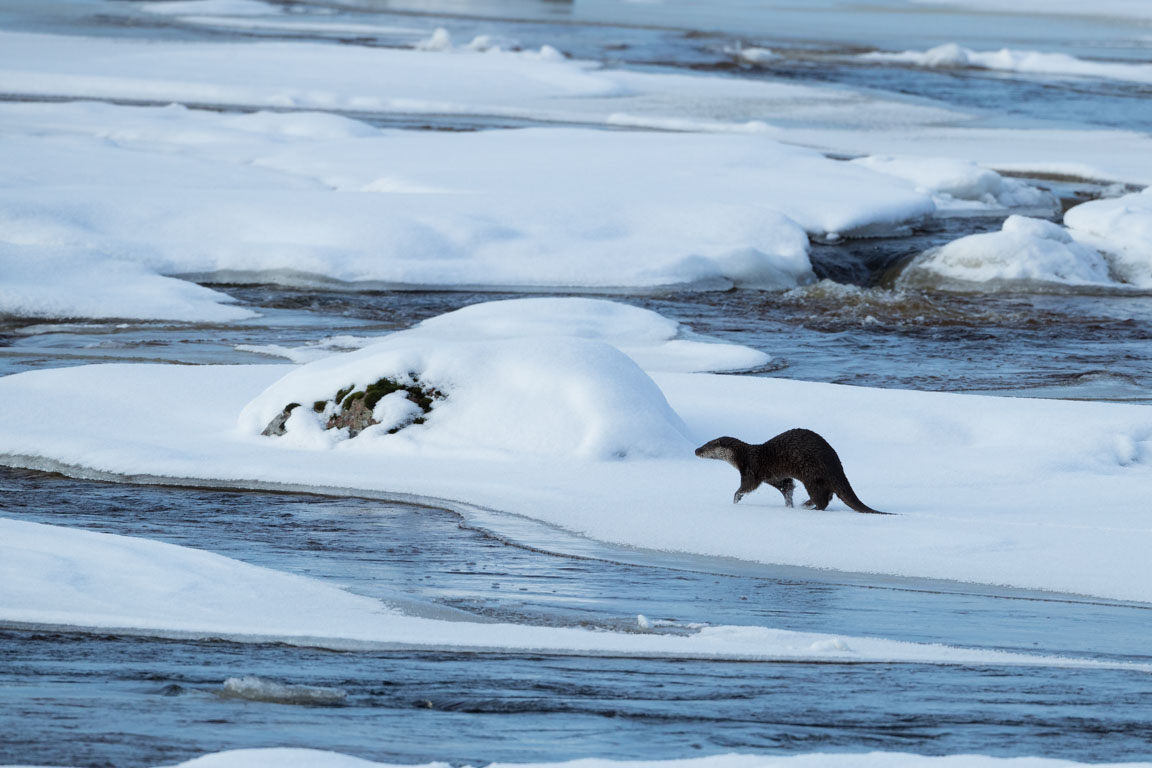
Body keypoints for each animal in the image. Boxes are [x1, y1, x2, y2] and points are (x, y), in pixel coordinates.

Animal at [691, 430, 889, 513]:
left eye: (706, 446)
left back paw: (811, 508)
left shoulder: (751, 469)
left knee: (823, 499)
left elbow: (747, 486)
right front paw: (788, 505)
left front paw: (736, 498)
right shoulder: (775, 477)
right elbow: (787, 487)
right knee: (828, 494)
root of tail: (835, 463)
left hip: (811, 474)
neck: (743, 455)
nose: (696, 450)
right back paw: (806, 504)